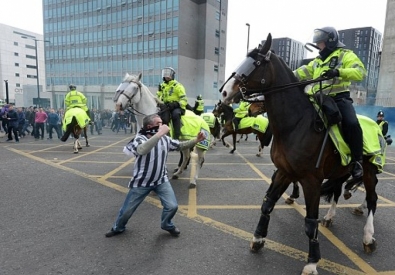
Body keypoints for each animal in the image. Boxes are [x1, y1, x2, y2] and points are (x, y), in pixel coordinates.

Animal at [221, 34, 382, 275]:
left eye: (256, 62)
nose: (224, 92)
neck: (296, 125)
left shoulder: (311, 180)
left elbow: (310, 221)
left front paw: (312, 261)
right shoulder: (284, 172)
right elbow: (267, 204)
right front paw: (258, 238)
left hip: (369, 170)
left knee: (372, 199)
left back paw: (368, 237)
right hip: (340, 171)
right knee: (337, 192)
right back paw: (330, 216)